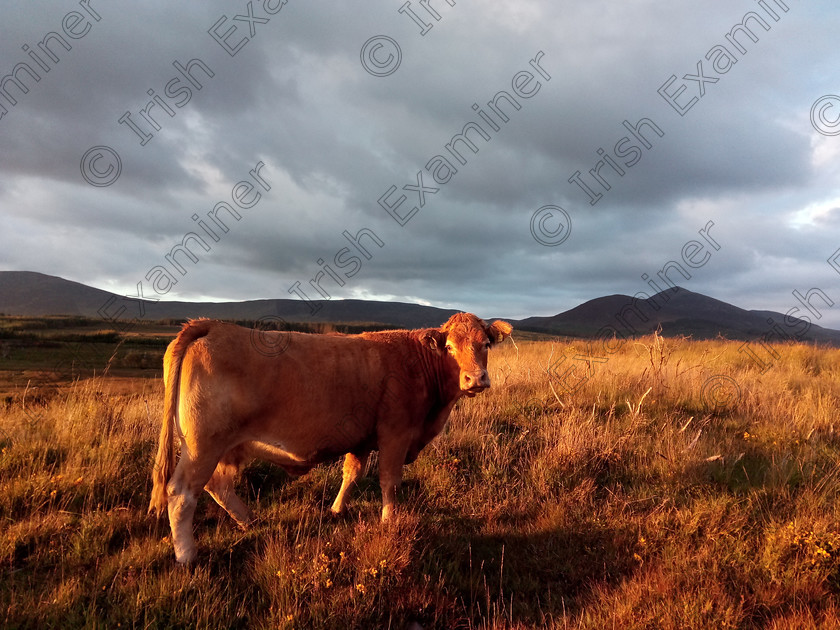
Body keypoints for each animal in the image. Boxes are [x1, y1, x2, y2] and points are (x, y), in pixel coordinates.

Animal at [149, 314, 512, 564]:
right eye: (449, 347)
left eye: (486, 345)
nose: (476, 378)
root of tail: (213, 325)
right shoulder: (395, 433)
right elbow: (389, 481)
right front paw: (389, 520)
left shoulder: (362, 438)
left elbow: (351, 473)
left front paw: (337, 509)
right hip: (203, 445)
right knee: (182, 493)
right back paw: (187, 556)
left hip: (227, 447)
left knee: (219, 485)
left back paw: (250, 521)